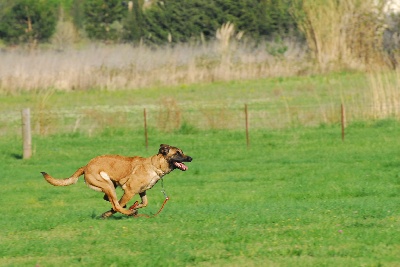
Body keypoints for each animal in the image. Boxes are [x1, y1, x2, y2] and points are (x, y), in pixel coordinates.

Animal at [41, 146, 191, 219]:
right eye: (178, 153)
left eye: (182, 152)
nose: (191, 158)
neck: (154, 166)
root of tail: (86, 166)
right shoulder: (129, 191)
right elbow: (118, 205)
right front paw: (113, 212)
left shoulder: (142, 191)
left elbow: (144, 202)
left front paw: (135, 206)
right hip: (107, 184)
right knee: (116, 204)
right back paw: (127, 212)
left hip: (110, 185)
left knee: (109, 199)